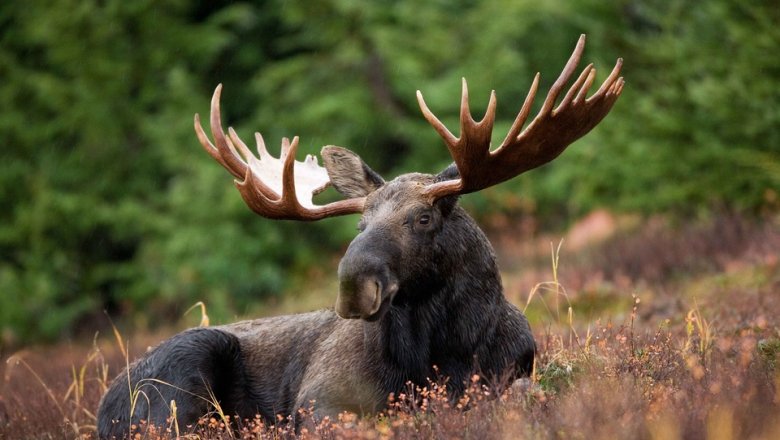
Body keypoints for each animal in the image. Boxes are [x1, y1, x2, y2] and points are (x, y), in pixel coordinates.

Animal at [97, 34, 624, 436]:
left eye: (423, 218)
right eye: (360, 224)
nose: (353, 285)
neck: (445, 351)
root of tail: (104, 407)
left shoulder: (514, 371)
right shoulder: (320, 400)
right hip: (181, 373)